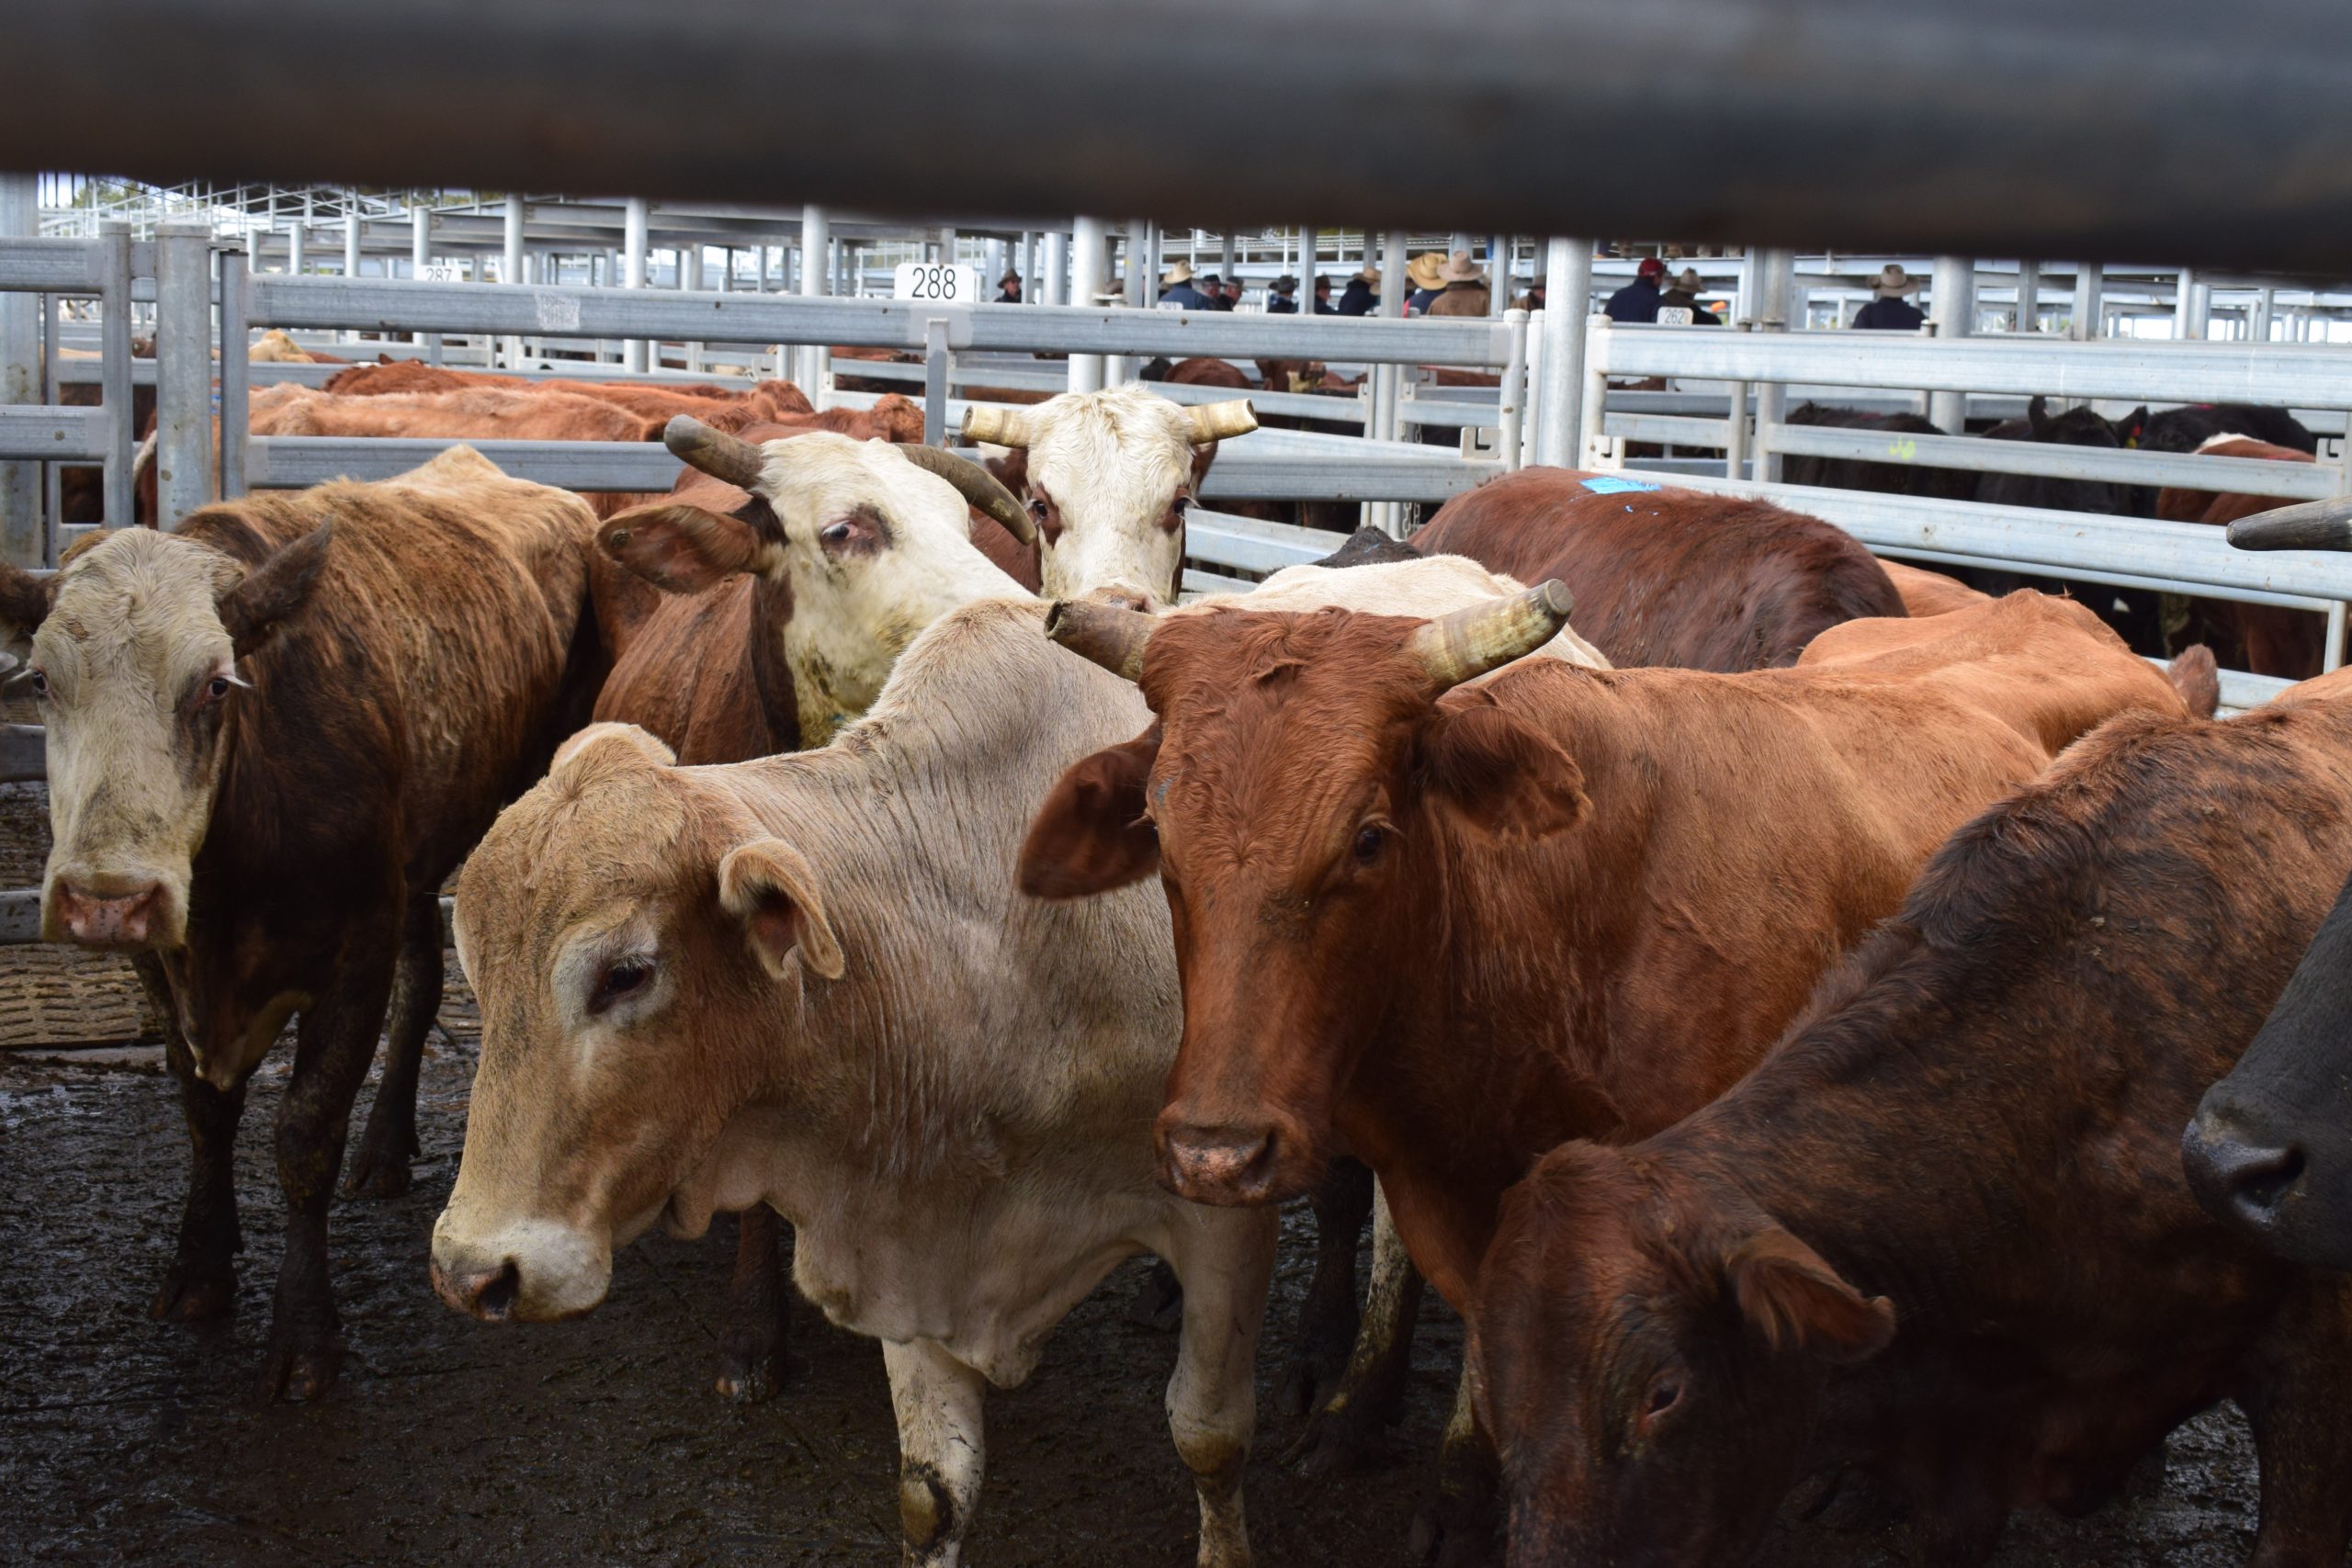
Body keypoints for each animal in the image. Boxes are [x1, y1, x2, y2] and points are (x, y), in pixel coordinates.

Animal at [2, 446, 606, 1401]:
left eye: (215, 684)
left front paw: (304, 1331)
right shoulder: (162, 967)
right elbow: (204, 1109)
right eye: (39, 681)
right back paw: (387, 1141)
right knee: (422, 972)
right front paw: (202, 1263)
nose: (108, 895)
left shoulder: (352, 960)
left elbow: (304, 1134)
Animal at [1030, 585, 2201, 1561]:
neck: (1551, 922)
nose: (1216, 1153)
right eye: (1159, 835)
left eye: (1366, 838)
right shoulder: (1459, 1209)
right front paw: (1458, 1505)